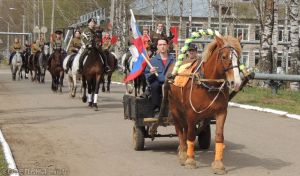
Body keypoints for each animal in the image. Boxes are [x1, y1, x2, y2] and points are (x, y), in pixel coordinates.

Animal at [165, 35, 243, 173]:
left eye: (237, 57)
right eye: (224, 56)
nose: (237, 83)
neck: (207, 84)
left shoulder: (221, 113)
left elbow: (219, 136)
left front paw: (218, 164)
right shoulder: (191, 114)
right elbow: (190, 135)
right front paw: (190, 161)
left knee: (184, 130)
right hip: (175, 109)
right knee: (180, 130)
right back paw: (183, 153)